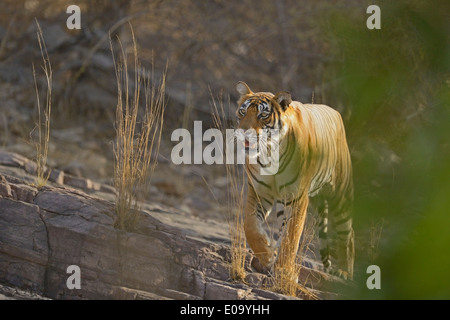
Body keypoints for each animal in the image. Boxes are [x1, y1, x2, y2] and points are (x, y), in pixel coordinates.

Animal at [236, 81, 356, 278]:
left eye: (263, 115)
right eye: (242, 112)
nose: (243, 133)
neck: (269, 155)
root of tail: (336, 112)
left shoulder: (298, 198)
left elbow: (292, 236)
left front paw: (283, 270)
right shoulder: (258, 192)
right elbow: (251, 227)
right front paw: (267, 255)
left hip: (340, 195)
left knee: (348, 233)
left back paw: (345, 272)